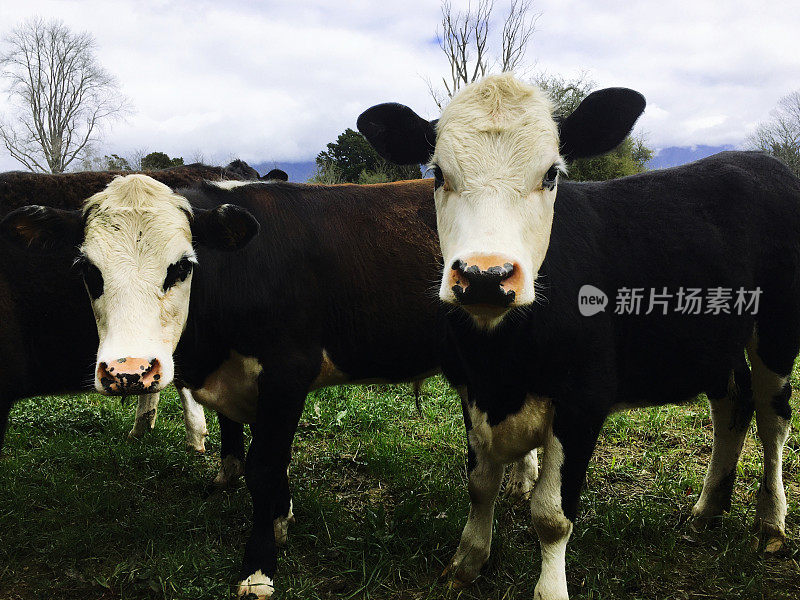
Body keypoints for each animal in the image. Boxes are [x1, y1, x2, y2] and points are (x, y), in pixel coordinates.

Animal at [3, 172, 540, 596]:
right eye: (87, 270)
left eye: (182, 266)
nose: (130, 371)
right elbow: (254, 449)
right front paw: (280, 519)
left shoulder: (287, 371)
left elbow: (264, 465)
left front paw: (259, 566)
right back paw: (522, 478)